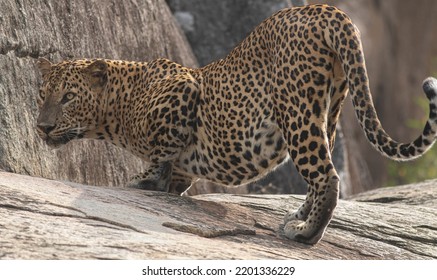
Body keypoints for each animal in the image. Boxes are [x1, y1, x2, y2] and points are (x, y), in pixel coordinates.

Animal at [36, 4, 436, 245]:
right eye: (42, 95)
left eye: (68, 97)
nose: (41, 127)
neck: (117, 110)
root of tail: (325, 9)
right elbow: (174, 172)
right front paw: (158, 181)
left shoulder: (182, 90)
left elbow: (161, 152)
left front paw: (144, 178)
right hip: (332, 107)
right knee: (320, 172)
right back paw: (296, 218)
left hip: (296, 108)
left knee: (327, 176)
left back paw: (305, 233)